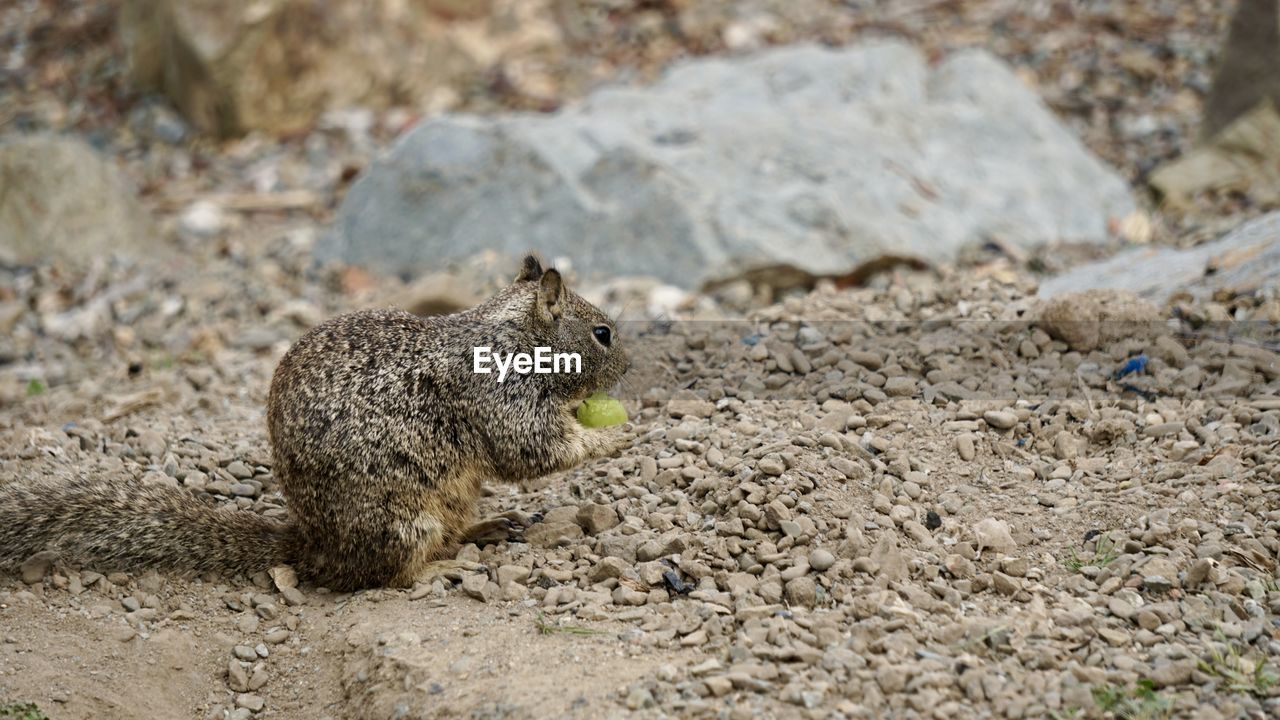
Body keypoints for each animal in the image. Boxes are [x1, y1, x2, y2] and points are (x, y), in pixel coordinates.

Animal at [0, 255, 630, 590]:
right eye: (602, 333)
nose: (629, 368)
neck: (511, 339)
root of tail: (313, 545)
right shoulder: (500, 399)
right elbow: (533, 449)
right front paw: (614, 434)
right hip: (402, 524)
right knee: (387, 576)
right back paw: (437, 571)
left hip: (450, 501)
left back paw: (490, 527)